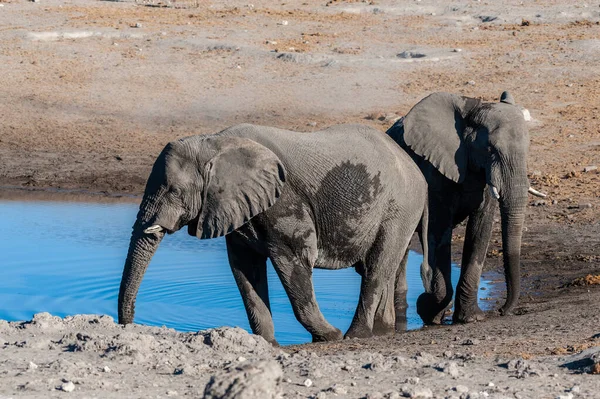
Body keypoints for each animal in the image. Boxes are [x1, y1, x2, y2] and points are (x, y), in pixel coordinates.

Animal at [118, 123, 426, 346]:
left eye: (174, 191)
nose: (129, 325)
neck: (214, 142)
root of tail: (412, 165)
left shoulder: (284, 202)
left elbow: (295, 263)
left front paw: (329, 337)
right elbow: (245, 270)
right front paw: (267, 343)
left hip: (398, 208)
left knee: (375, 269)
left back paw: (354, 336)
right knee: (385, 268)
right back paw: (383, 331)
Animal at [386, 92, 548, 326]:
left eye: (528, 148)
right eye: (490, 149)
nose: (502, 311)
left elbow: (480, 229)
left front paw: (471, 317)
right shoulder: (434, 173)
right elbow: (439, 231)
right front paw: (430, 310)